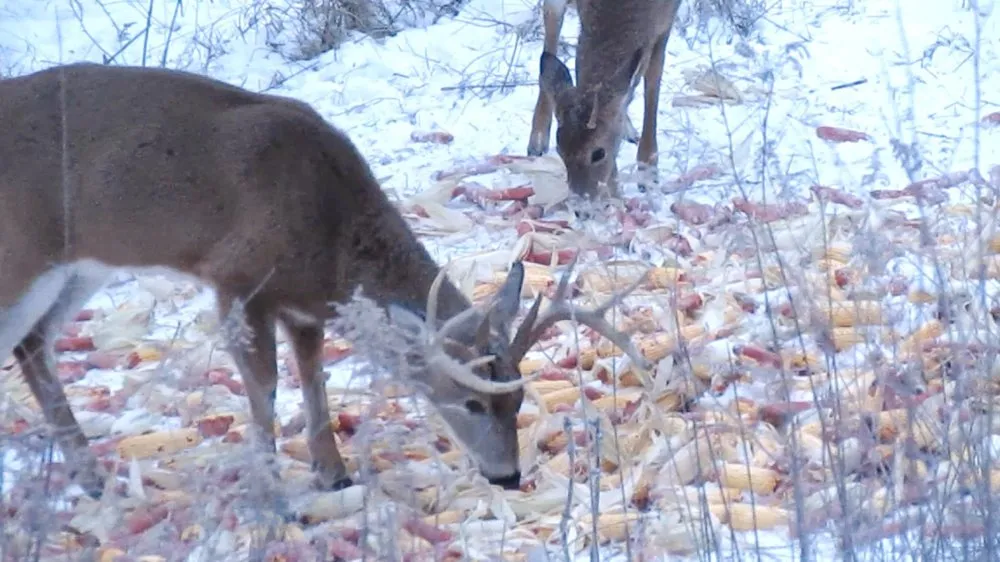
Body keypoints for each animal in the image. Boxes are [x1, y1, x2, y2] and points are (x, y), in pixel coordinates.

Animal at [0, 62, 654, 501]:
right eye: (469, 401)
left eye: (516, 399)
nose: (509, 476)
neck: (330, 236)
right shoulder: (236, 278)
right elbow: (264, 388)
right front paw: (272, 494)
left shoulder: (304, 305)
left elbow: (314, 381)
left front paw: (332, 474)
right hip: (23, 254)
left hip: (83, 266)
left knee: (33, 345)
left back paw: (91, 478)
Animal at [526, 0, 682, 199]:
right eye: (560, 151)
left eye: (599, 153)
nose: (581, 197)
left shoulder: (666, 22)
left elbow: (652, 85)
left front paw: (648, 172)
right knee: (551, 28)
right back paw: (537, 141)